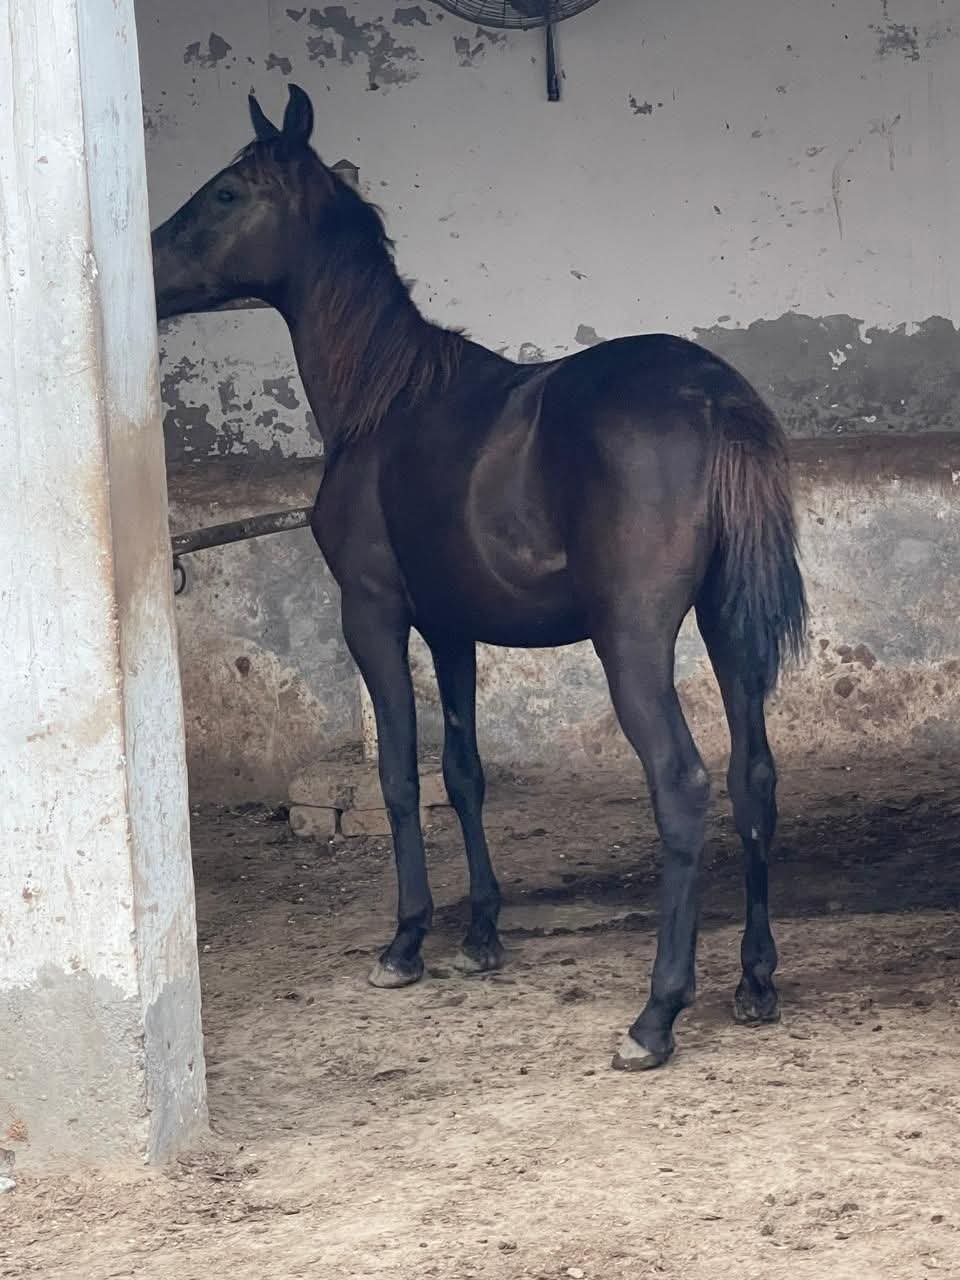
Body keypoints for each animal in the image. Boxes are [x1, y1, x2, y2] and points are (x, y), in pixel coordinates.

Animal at [151, 84, 807, 1071]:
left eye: (228, 193)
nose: (147, 267)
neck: (385, 401)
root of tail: (711, 395)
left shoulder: (374, 616)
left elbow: (397, 773)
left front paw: (406, 942)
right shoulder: (452, 627)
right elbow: (462, 772)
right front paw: (482, 935)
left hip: (633, 641)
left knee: (684, 786)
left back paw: (655, 1017)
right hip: (729, 630)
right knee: (753, 779)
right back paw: (755, 984)